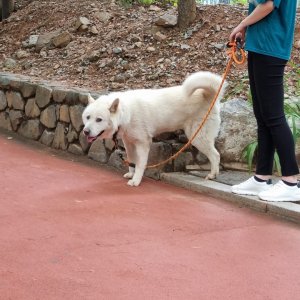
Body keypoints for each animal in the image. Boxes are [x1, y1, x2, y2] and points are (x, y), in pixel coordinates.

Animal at [82, 71, 225, 186]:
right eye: (88, 117)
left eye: (99, 119)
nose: (85, 131)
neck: (126, 113)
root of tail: (208, 94)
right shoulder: (129, 143)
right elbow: (131, 162)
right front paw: (131, 174)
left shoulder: (143, 144)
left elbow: (140, 164)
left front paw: (136, 180)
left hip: (197, 137)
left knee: (216, 155)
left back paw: (213, 175)